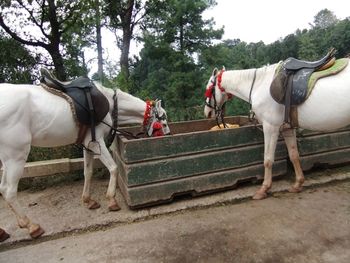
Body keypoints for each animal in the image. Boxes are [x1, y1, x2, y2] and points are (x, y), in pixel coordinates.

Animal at [0, 83, 170, 241]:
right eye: (163, 122)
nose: (167, 137)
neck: (110, 103)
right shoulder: (97, 142)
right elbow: (113, 168)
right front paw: (111, 200)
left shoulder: (87, 144)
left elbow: (87, 172)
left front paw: (88, 200)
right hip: (16, 155)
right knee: (9, 192)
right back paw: (31, 226)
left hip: (7, 158)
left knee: (2, 188)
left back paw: (5, 231)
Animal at [204, 61, 350, 200]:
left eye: (209, 88)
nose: (207, 112)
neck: (259, 85)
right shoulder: (287, 129)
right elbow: (294, 155)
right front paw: (298, 184)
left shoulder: (270, 128)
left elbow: (268, 159)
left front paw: (264, 189)